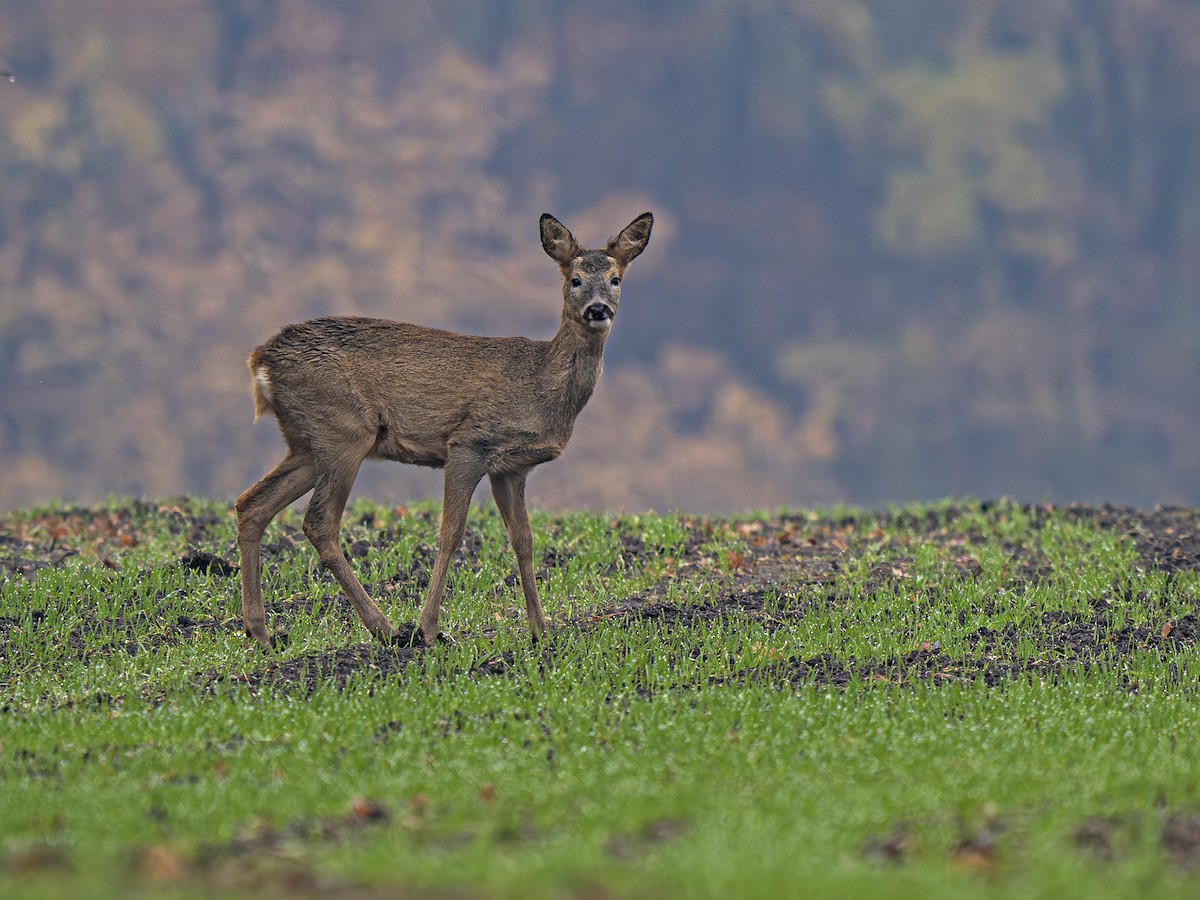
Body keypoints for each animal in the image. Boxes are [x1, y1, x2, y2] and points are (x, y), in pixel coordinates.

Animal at [235, 211, 653, 649]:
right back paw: (384, 627)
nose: (598, 309)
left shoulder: (512, 468)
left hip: (307, 442)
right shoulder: (470, 442)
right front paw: (430, 628)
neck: (541, 384)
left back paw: (260, 631)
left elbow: (524, 541)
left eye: (615, 279)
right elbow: (451, 532)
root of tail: (260, 362)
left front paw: (541, 631)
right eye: (575, 279)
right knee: (318, 522)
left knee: (252, 504)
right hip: (343, 431)